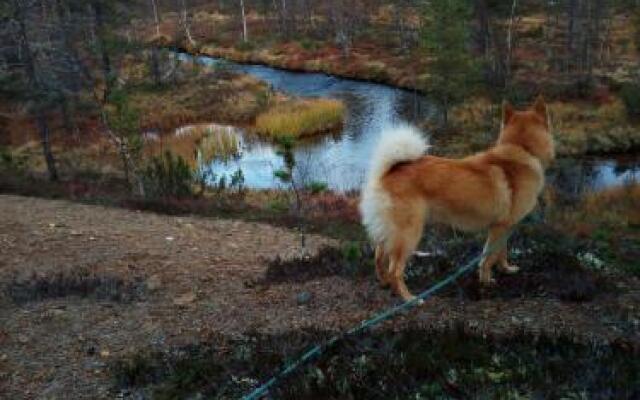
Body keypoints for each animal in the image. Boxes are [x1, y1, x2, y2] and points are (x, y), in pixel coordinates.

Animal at [360, 97, 556, 300]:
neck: (523, 150)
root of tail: (390, 171)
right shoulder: (499, 227)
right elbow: (489, 257)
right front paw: (486, 281)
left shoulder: (505, 227)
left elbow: (502, 252)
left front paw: (506, 269)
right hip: (408, 235)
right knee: (395, 271)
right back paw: (409, 298)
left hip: (389, 232)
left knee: (378, 257)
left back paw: (385, 283)